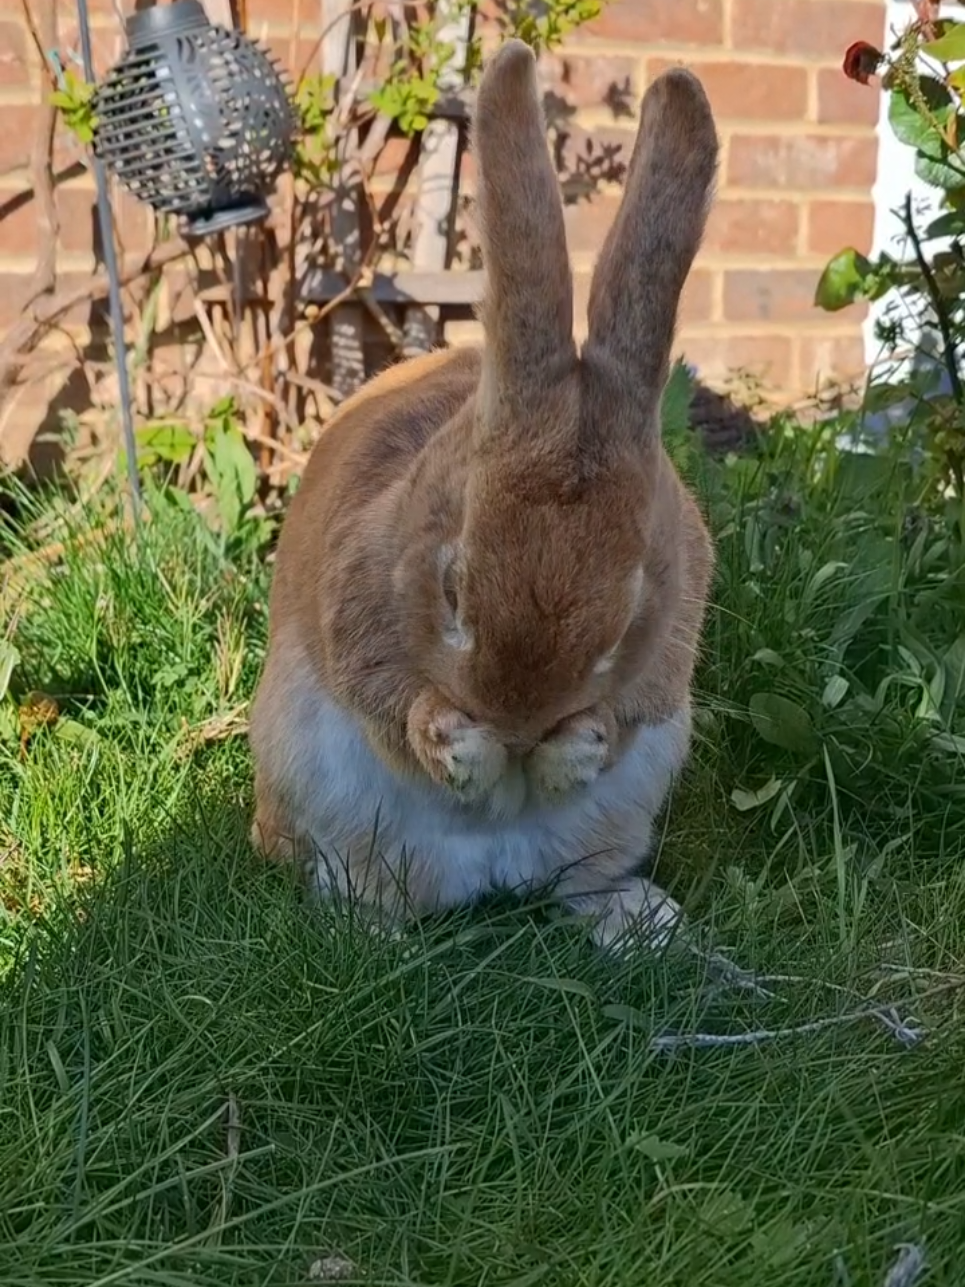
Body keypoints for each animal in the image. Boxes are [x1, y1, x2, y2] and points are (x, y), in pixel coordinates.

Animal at [248, 39, 719, 951]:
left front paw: (570, 747)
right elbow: (394, 707)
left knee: (577, 883)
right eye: (452, 588)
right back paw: (374, 933)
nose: (515, 725)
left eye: (625, 616)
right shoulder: (356, 615)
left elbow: (621, 720)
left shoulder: (667, 651)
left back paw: (637, 919)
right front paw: (461, 746)